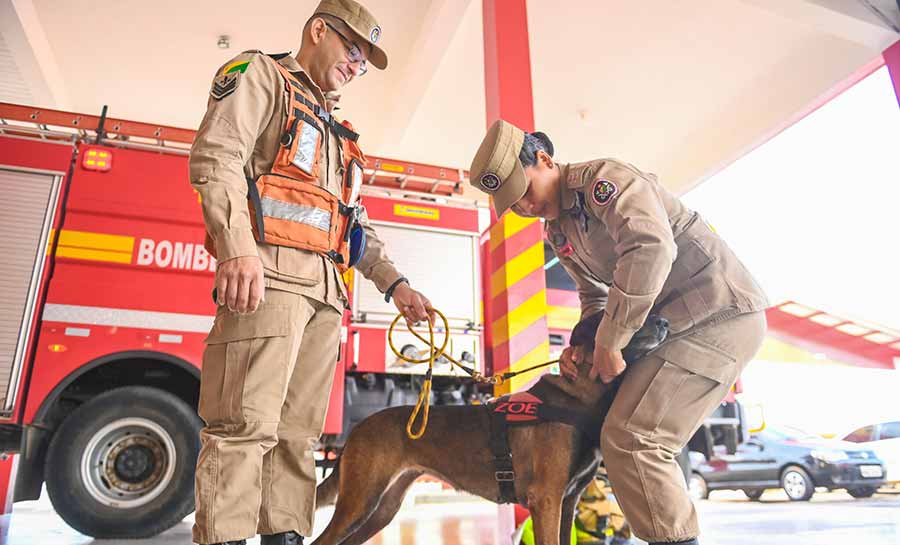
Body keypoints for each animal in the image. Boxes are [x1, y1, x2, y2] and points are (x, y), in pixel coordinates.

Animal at [312, 312, 668, 544]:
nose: (665, 322)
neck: (581, 392)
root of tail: (357, 429)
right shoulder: (546, 499)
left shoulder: (568, 502)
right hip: (360, 502)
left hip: (382, 508)